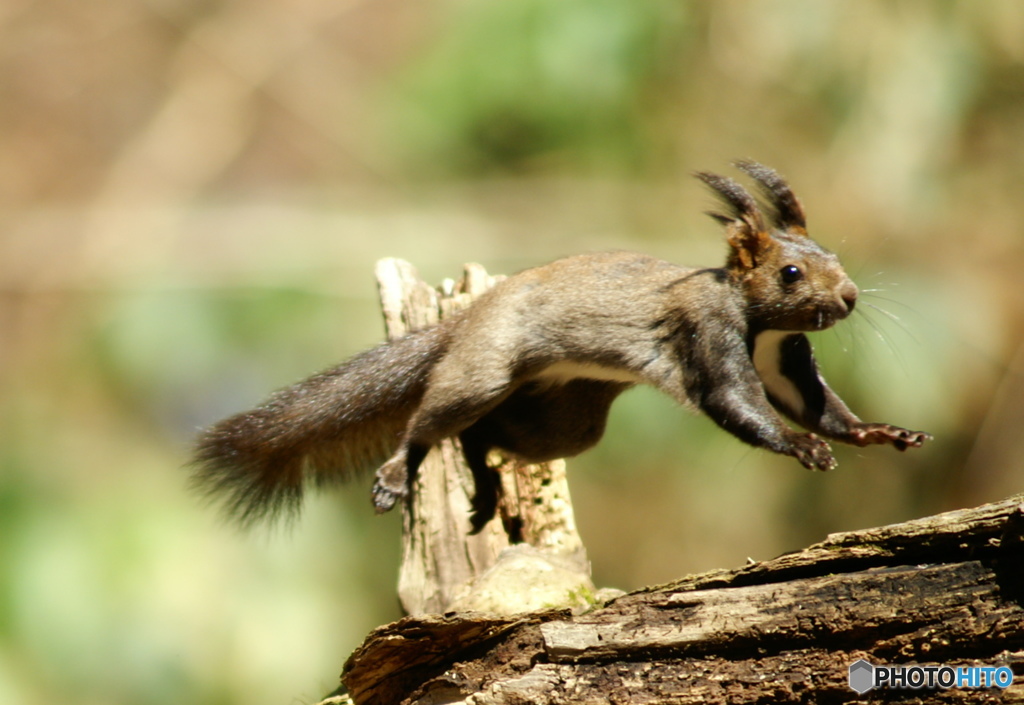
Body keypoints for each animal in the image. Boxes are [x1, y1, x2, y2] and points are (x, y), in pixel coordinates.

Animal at [190, 162, 929, 528]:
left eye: (834, 255)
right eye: (791, 272)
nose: (849, 297)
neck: (760, 322)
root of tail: (468, 317)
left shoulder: (785, 358)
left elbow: (815, 404)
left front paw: (878, 433)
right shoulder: (708, 335)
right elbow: (737, 403)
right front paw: (804, 448)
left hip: (566, 417)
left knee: (482, 434)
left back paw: (486, 482)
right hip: (486, 369)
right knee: (430, 422)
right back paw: (399, 472)